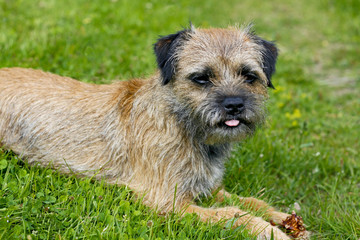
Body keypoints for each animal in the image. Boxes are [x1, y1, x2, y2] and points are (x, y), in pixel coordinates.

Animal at [0, 25, 310, 239]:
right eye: (201, 78)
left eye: (249, 75)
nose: (234, 104)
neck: (182, 123)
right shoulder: (169, 202)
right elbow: (236, 214)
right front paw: (270, 232)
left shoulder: (207, 189)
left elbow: (252, 201)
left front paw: (285, 219)